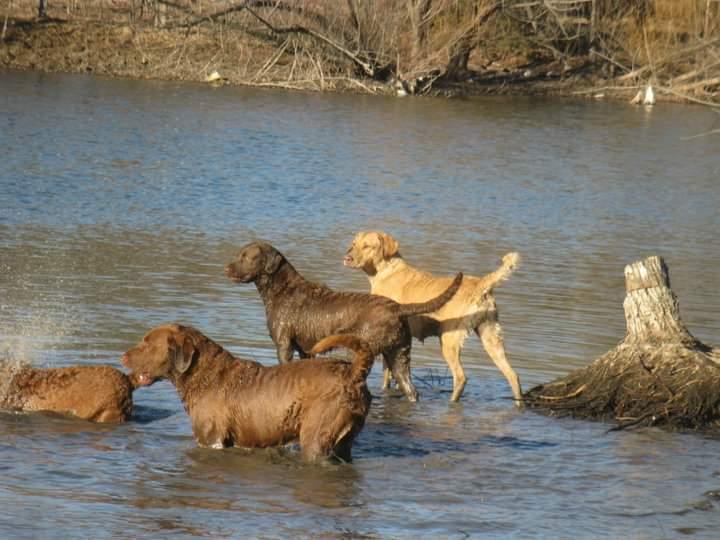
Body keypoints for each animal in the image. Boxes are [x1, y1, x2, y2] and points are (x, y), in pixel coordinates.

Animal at [119, 322, 372, 462]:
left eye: (147, 343)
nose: (123, 356)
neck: (202, 375)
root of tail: (352, 372)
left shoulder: (211, 438)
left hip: (317, 433)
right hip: (344, 440)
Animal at [224, 240, 462, 400]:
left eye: (246, 256)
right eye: (239, 254)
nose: (226, 268)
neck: (281, 289)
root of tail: (397, 307)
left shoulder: (284, 345)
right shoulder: (305, 350)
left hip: (367, 347)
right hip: (400, 355)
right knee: (411, 389)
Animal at [344, 230, 520, 402]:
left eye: (367, 246)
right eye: (354, 244)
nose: (347, 258)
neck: (386, 271)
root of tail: (480, 284)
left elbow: (386, 374)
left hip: (449, 340)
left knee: (460, 377)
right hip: (491, 338)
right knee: (513, 375)